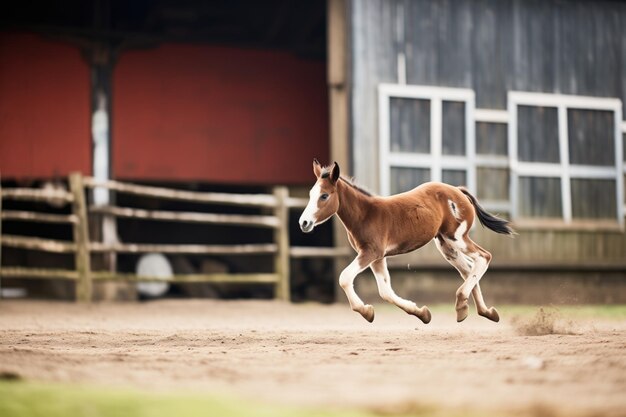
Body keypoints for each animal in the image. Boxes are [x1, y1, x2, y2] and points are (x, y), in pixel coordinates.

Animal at [298, 158, 512, 322]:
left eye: (324, 196)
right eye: (310, 194)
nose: (304, 222)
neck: (366, 214)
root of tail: (458, 191)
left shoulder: (371, 252)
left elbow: (344, 277)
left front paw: (366, 312)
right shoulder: (377, 257)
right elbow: (385, 291)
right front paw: (422, 313)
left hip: (457, 237)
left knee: (483, 257)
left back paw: (463, 303)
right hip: (445, 244)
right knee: (468, 268)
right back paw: (483, 311)